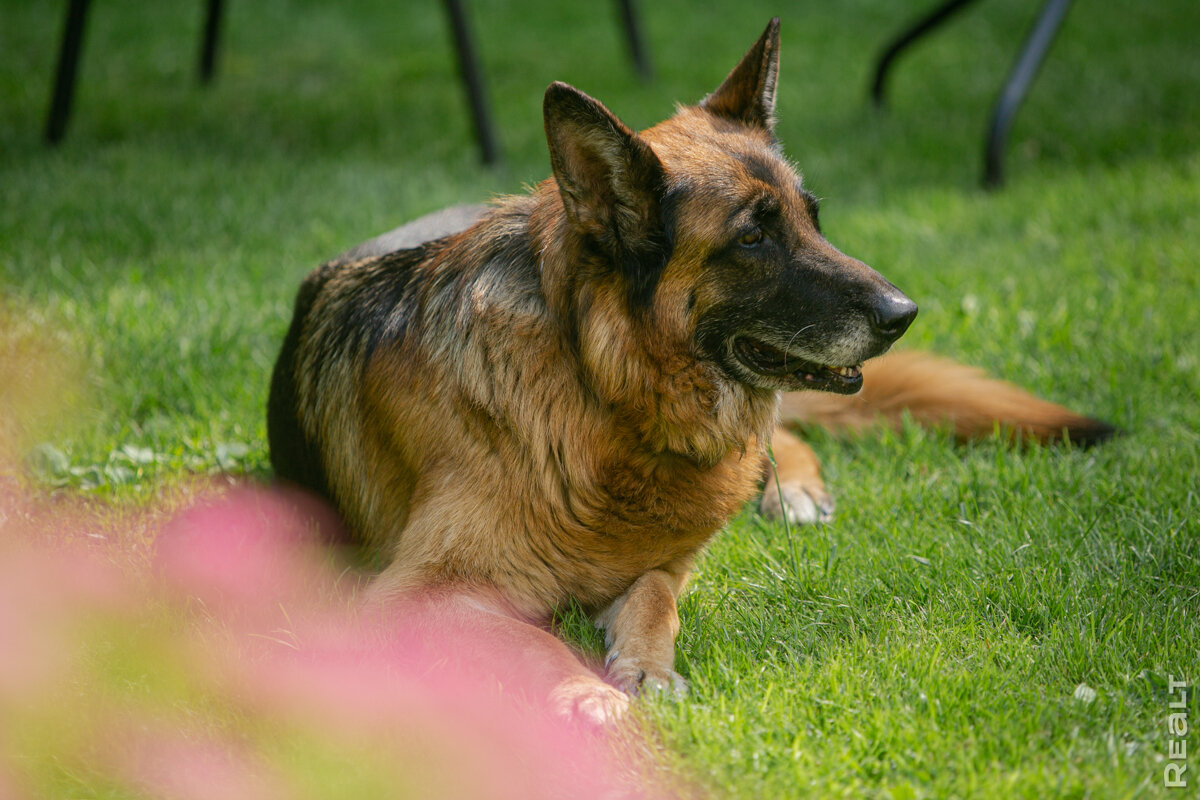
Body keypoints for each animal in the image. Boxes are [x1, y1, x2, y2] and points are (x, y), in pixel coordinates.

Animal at [267, 18, 1108, 724]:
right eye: (752, 239)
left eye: (813, 218)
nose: (903, 314)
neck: (604, 392)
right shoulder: (413, 594)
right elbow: (534, 637)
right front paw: (584, 686)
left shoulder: (667, 563)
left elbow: (654, 602)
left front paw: (645, 667)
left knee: (780, 433)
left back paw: (792, 487)